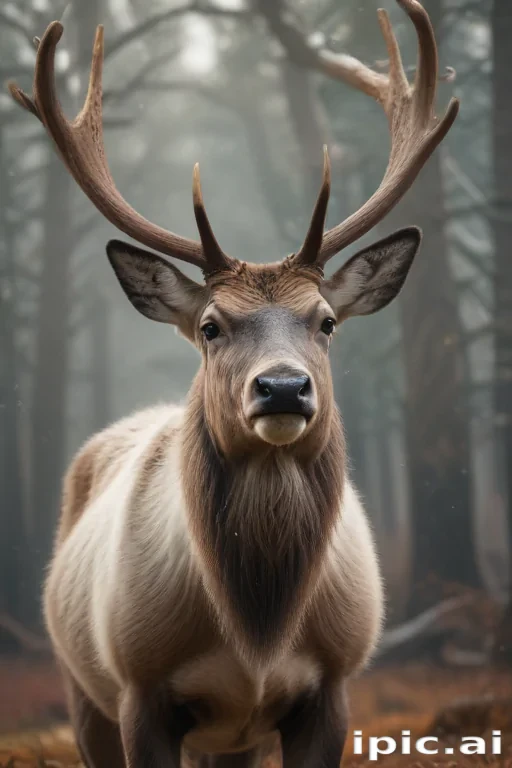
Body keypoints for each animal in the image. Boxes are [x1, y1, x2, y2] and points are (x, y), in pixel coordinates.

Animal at [7, 1, 458, 766]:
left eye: (326, 321)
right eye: (212, 326)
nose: (281, 389)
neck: (257, 634)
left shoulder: (335, 681)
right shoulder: (140, 685)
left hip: (230, 738)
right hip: (79, 681)